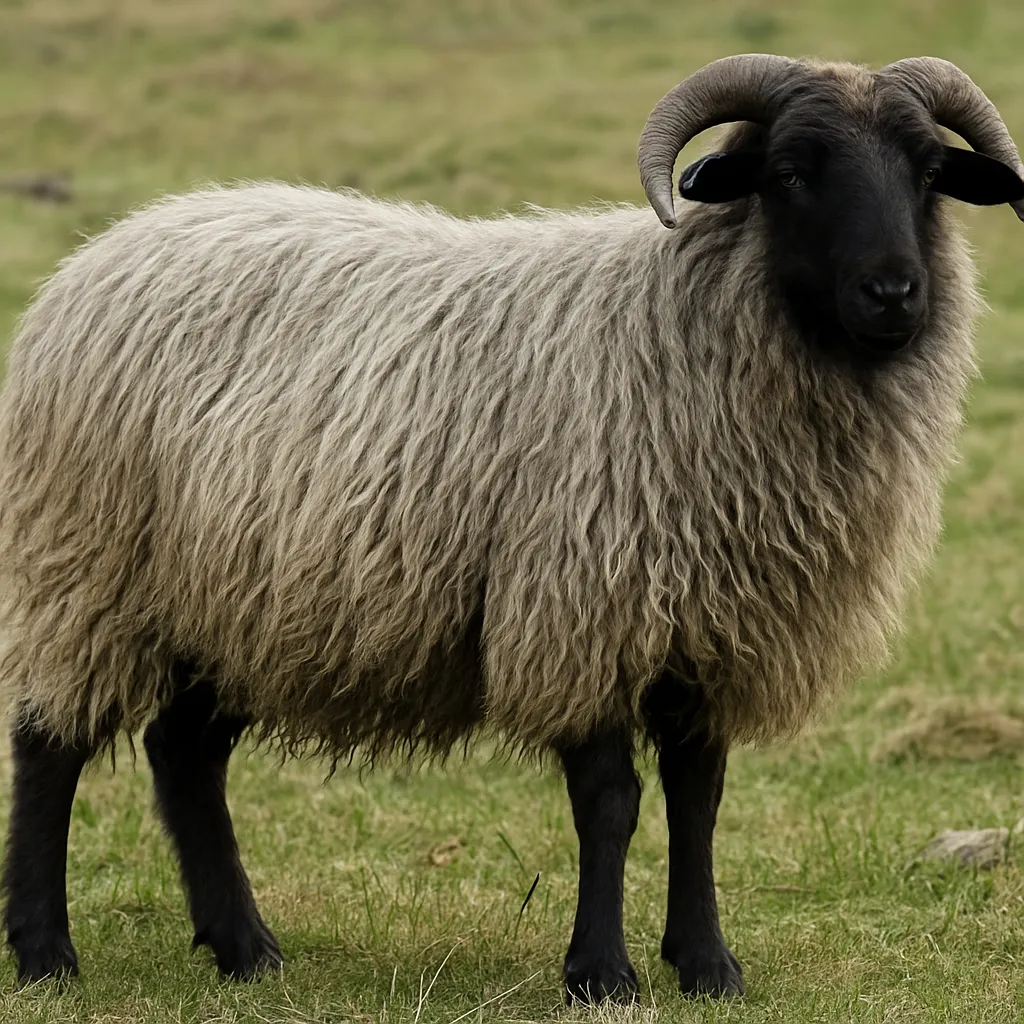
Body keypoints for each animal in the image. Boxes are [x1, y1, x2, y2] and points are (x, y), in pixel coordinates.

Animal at [1, 53, 1022, 1002]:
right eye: (790, 171)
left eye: (931, 168)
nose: (894, 292)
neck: (683, 331)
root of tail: (104, 251)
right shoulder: (582, 611)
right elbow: (610, 803)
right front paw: (601, 974)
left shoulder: (710, 631)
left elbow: (699, 800)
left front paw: (707, 966)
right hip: (87, 566)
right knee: (50, 746)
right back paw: (48, 955)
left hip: (228, 602)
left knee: (184, 756)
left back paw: (246, 951)